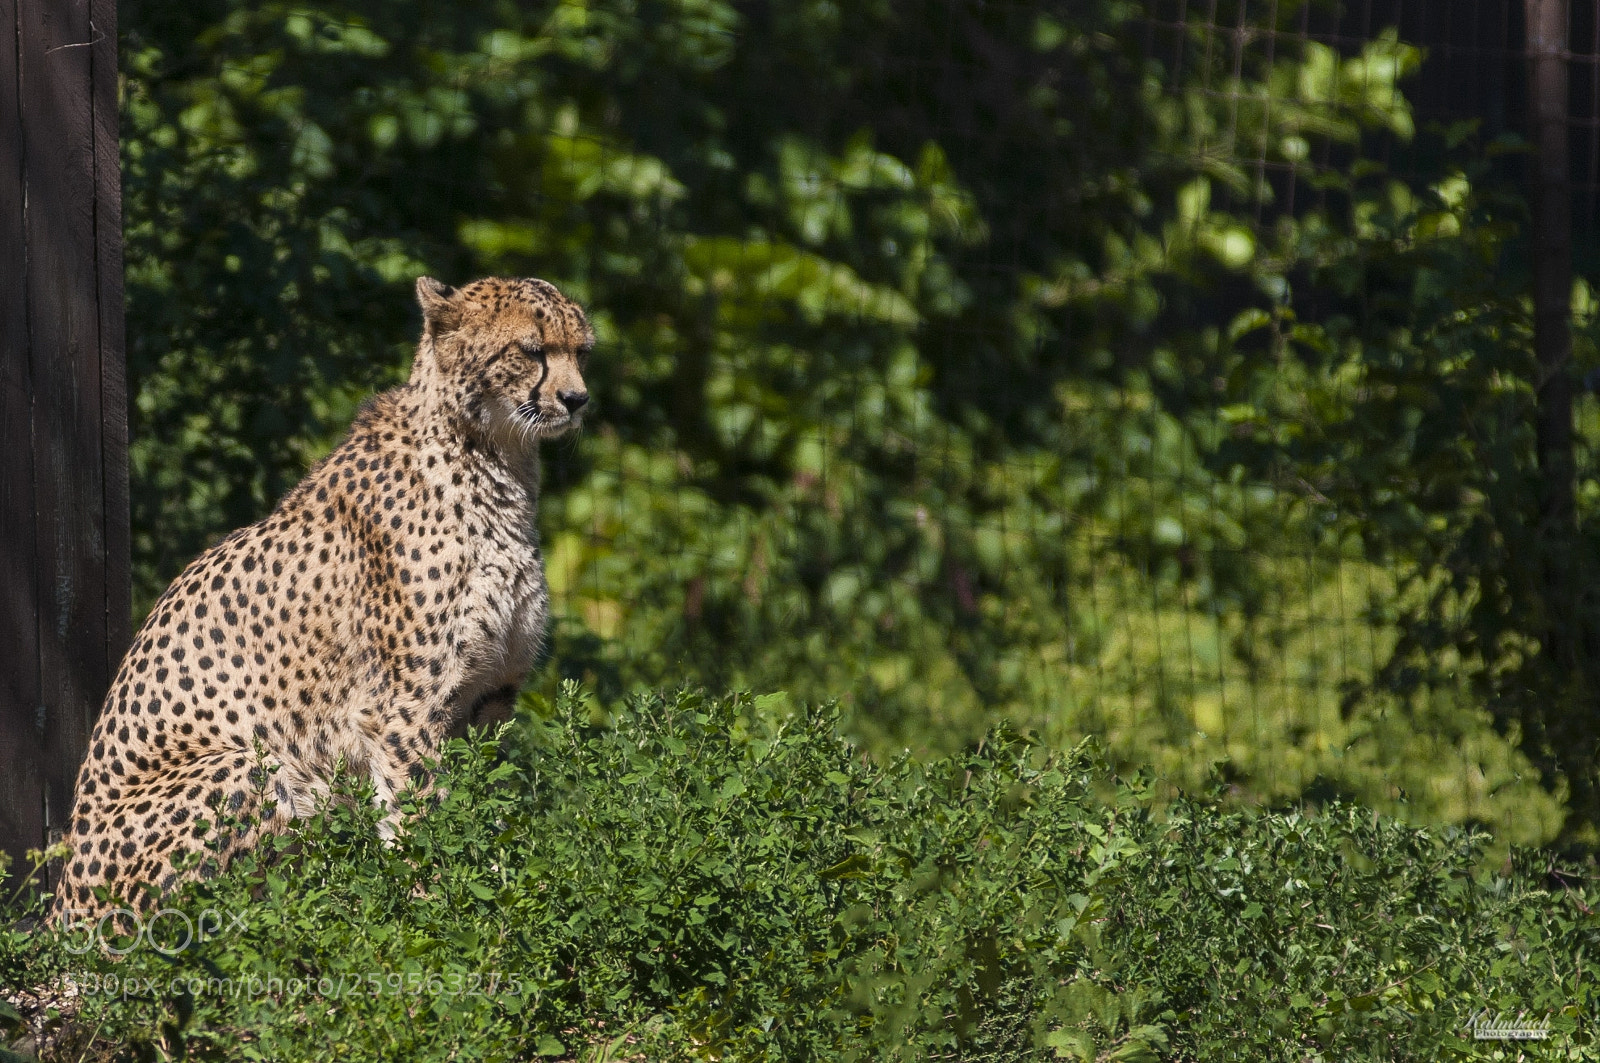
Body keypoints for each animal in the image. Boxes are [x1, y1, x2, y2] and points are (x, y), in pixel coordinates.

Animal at [51, 275, 592, 922]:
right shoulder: (404, 707)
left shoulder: (489, 696)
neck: (493, 454)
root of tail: (60, 909)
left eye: (582, 351)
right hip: (246, 766)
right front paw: (432, 902)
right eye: (532, 350)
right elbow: (421, 812)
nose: (578, 400)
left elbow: (475, 799)